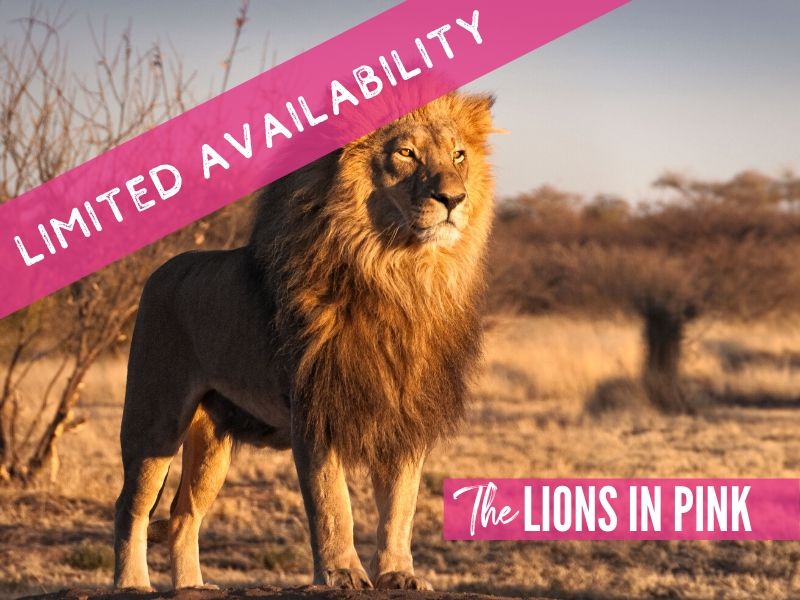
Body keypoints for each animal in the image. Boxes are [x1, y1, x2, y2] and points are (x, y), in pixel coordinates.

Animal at [113, 92, 496, 591]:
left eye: (459, 155)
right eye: (406, 153)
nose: (452, 198)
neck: (401, 275)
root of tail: (161, 270)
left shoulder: (406, 413)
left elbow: (401, 507)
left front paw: (398, 574)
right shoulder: (315, 409)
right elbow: (333, 504)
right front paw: (342, 573)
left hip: (212, 440)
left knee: (183, 516)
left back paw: (193, 587)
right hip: (154, 419)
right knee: (131, 507)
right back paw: (132, 584)